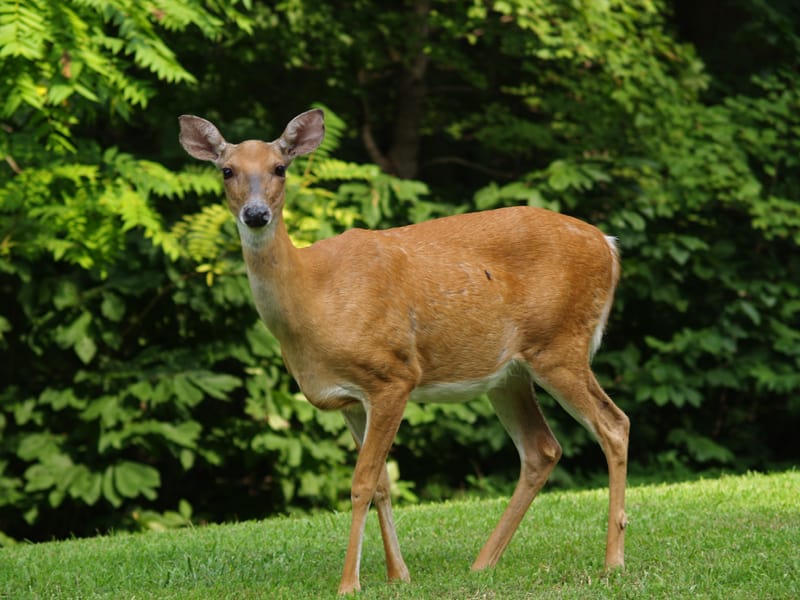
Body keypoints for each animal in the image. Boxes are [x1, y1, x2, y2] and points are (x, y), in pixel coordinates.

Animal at [178, 109, 628, 596]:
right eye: (227, 170)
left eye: (280, 168)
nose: (256, 214)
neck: (313, 297)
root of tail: (608, 245)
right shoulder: (349, 399)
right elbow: (381, 485)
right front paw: (399, 575)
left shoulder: (392, 375)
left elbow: (361, 483)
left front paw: (349, 584)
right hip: (508, 373)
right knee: (541, 448)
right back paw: (482, 563)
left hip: (560, 345)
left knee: (613, 424)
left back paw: (613, 561)